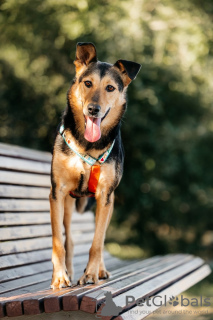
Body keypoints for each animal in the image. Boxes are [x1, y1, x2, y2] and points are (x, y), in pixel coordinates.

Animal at [49, 42, 141, 288]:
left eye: (110, 88)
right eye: (87, 83)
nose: (93, 109)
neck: (88, 146)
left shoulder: (104, 196)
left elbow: (97, 243)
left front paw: (91, 274)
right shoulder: (57, 193)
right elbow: (58, 243)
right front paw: (60, 277)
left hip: (109, 204)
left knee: (101, 235)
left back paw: (100, 269)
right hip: (68, 205)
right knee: (69, 240)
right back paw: (69, 271)